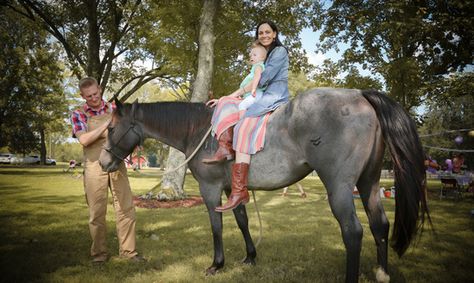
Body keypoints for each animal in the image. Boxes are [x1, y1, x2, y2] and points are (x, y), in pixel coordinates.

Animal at [98, 87, 428, 282]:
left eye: (111, 128)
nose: (103, 162)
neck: (201, 130)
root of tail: (360, 96)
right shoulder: (232, 188)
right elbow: (242, 220)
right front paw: (250, 257)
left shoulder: (210, 189)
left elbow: (216, 226)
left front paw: (217, 264)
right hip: (369, 182)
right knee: (380, 225)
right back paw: (382, 273)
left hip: (340, 188)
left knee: (353, 231)